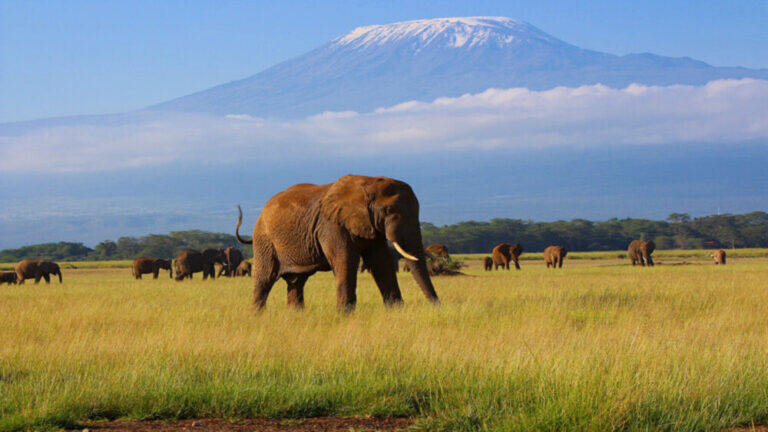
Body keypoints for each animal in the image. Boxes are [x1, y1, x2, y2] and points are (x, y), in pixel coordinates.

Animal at [235, 175, 440, 312]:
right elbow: (345, 260)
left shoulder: (370, 225)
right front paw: (344, 314)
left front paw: (396, 311)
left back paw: (295, 315)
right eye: (388, 210)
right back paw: (256, 316)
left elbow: (381, 262)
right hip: (265, 240)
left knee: (297, 281)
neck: (368, 181)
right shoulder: (332, 225)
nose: (438, 306)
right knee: (265, 278)